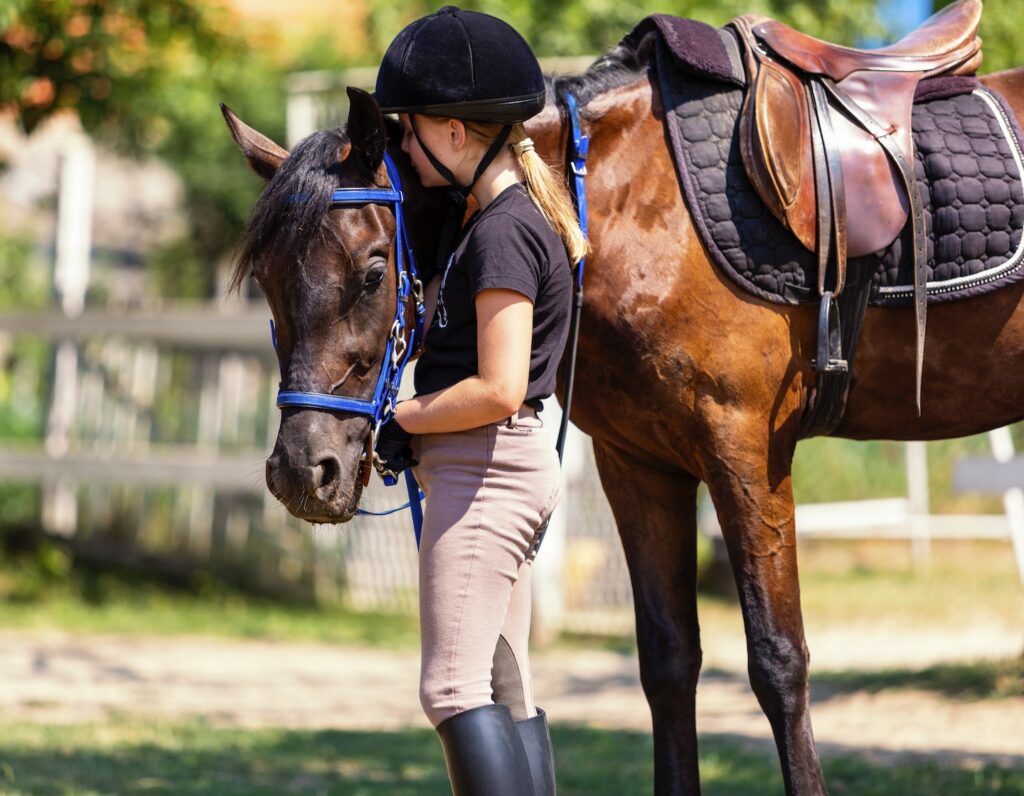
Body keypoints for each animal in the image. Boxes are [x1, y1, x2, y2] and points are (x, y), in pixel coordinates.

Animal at [222, 31, 1024, 796]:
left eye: (372, 272)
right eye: (264, 279)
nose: (303, 470)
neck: (628, 210)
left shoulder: (745, 452)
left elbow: (778, 661)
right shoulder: (640, 463)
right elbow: (668, 661)